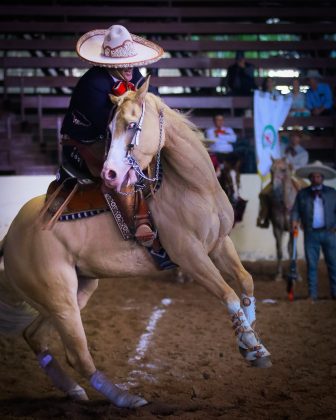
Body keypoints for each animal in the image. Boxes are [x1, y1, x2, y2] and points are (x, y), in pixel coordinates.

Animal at [0, 79, 270, 410]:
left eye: (131, 125)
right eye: (109, 128)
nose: (110, 173)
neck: (193, 187)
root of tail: (11, 235)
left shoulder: (219, 244)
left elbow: (246, 282)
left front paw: (251, 340)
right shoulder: (190, 256)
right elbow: (228, 294)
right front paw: (251, 345)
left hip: (75, 291)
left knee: (34, 335)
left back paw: (74, 391)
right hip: (60, 299)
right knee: (78, 355)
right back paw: (126, 398)